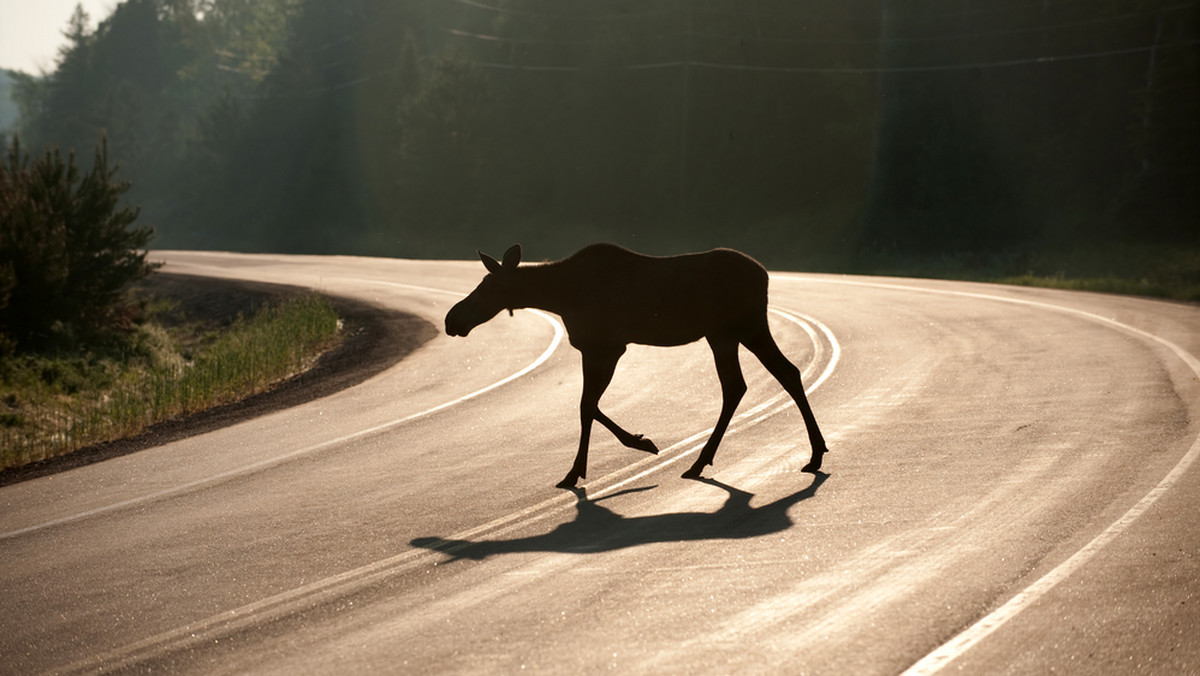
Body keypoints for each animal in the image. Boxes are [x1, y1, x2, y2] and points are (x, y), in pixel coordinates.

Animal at [446, 246, 830, 489]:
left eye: (486, 288)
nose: (452, 319)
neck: (560, 296)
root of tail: (765, 275)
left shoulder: (607, 347)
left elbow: (586, 406)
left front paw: (591, 465)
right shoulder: (597, 348)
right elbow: (589, 406)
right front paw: (625, 448)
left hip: (738, 328)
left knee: (753, 381)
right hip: (730, 332)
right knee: (771, 376)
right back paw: (810, 453)